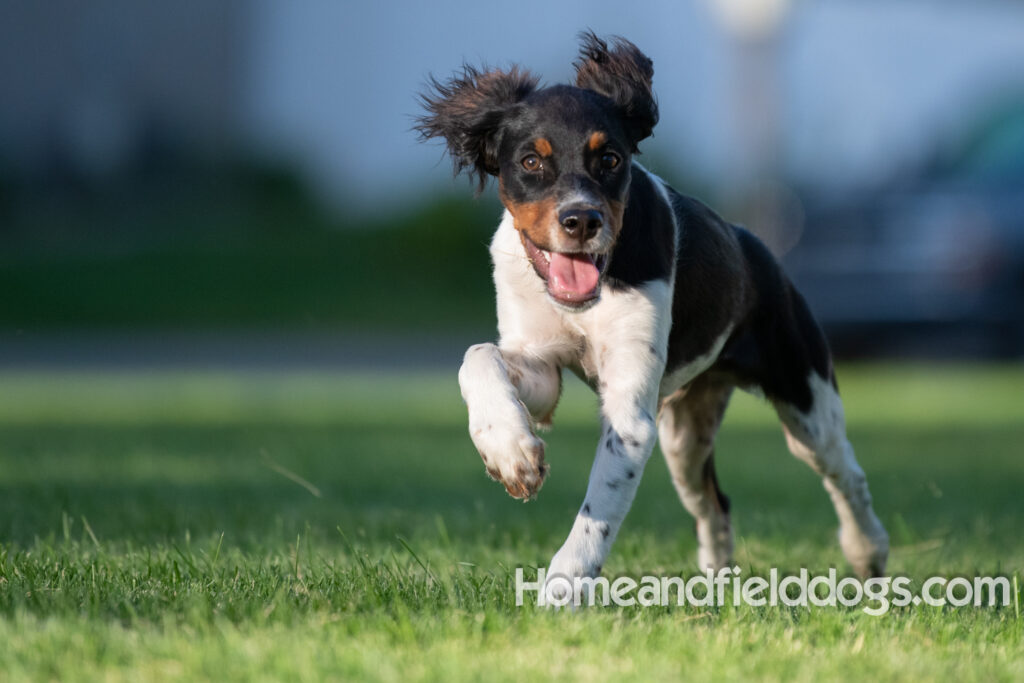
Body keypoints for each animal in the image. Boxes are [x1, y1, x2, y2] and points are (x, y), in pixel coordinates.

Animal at [415, 31, 888, 602]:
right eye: (530, 161)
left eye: (610, 158)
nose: (581, 220)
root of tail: (758, 249)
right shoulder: (542, 367)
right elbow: (478, 356)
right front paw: (509, 451)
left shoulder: (631, 416)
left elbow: (597, 512)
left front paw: (562, 590)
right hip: (686, 436)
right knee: (715, 503)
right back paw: (716, 583)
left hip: (806, 402)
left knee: (847, 476)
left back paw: (868, 554)